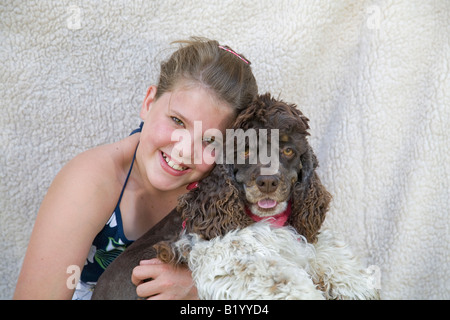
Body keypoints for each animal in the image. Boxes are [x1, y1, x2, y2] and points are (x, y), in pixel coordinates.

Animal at [94, 93, 380, 300]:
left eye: (288, 150)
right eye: (245, 151)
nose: (268, 182)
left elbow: (325, 250)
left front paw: (359, 284)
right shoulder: (228, 256)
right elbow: (280, 281)